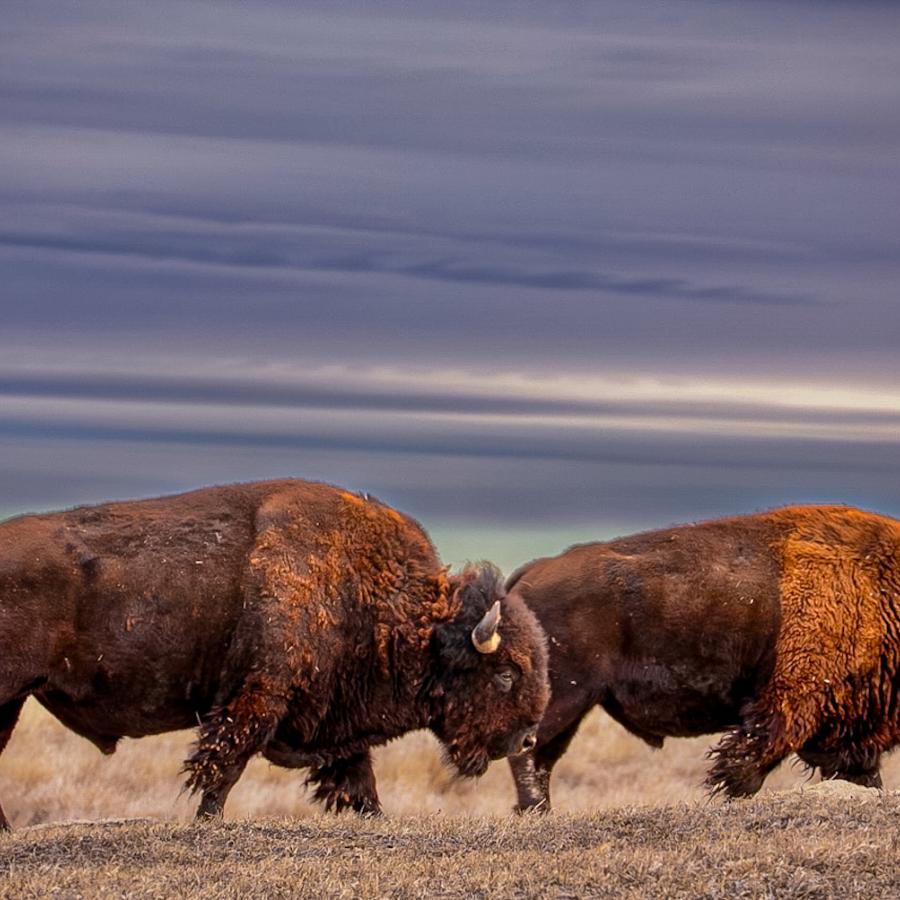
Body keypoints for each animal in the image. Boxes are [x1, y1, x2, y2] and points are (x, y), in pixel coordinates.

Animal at [0, 478, 548, 828]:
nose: (525, 740)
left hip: (13, 700)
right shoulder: (258, 697)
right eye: (505, 674)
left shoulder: (335, 725)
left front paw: (377, 817)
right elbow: (223, 765)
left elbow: (358, 780)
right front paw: (206, 822)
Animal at [506, 502, 900, 812]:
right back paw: (537, 809)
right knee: (529, 752)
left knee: (541, 755)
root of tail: (531, 573)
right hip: (564, 696)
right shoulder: (790, 704)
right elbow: (751, 760)